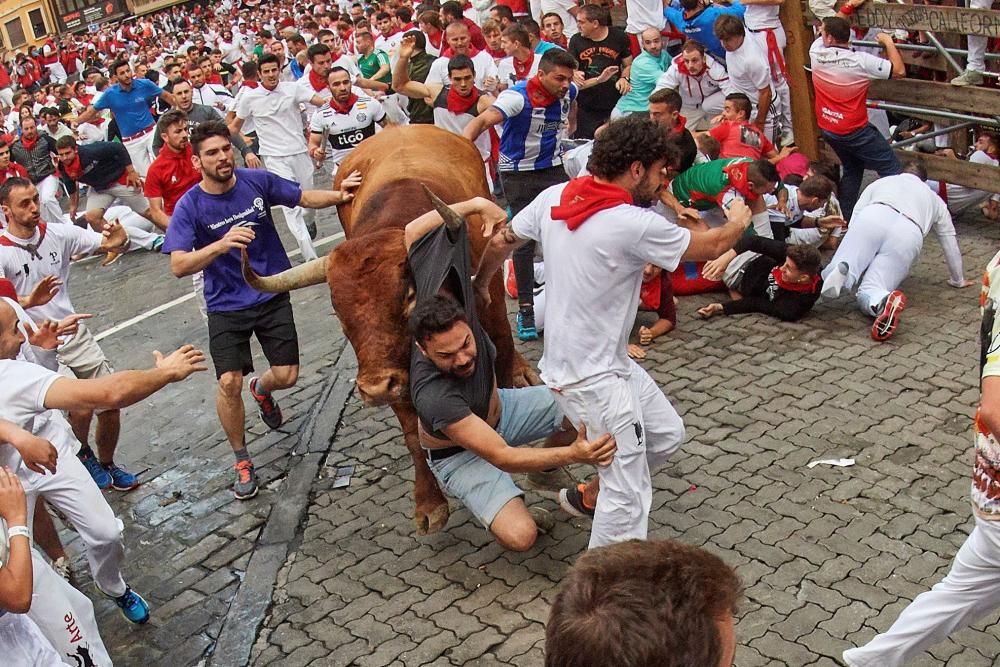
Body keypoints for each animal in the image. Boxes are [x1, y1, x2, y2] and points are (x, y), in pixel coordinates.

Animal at [243, 125, 540, 536]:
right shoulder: (398, 370)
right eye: (338, 311)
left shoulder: (489, 296)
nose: (374, 388)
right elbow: (414, 435)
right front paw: (429, 504)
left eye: (409, 297)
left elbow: (502, 355)